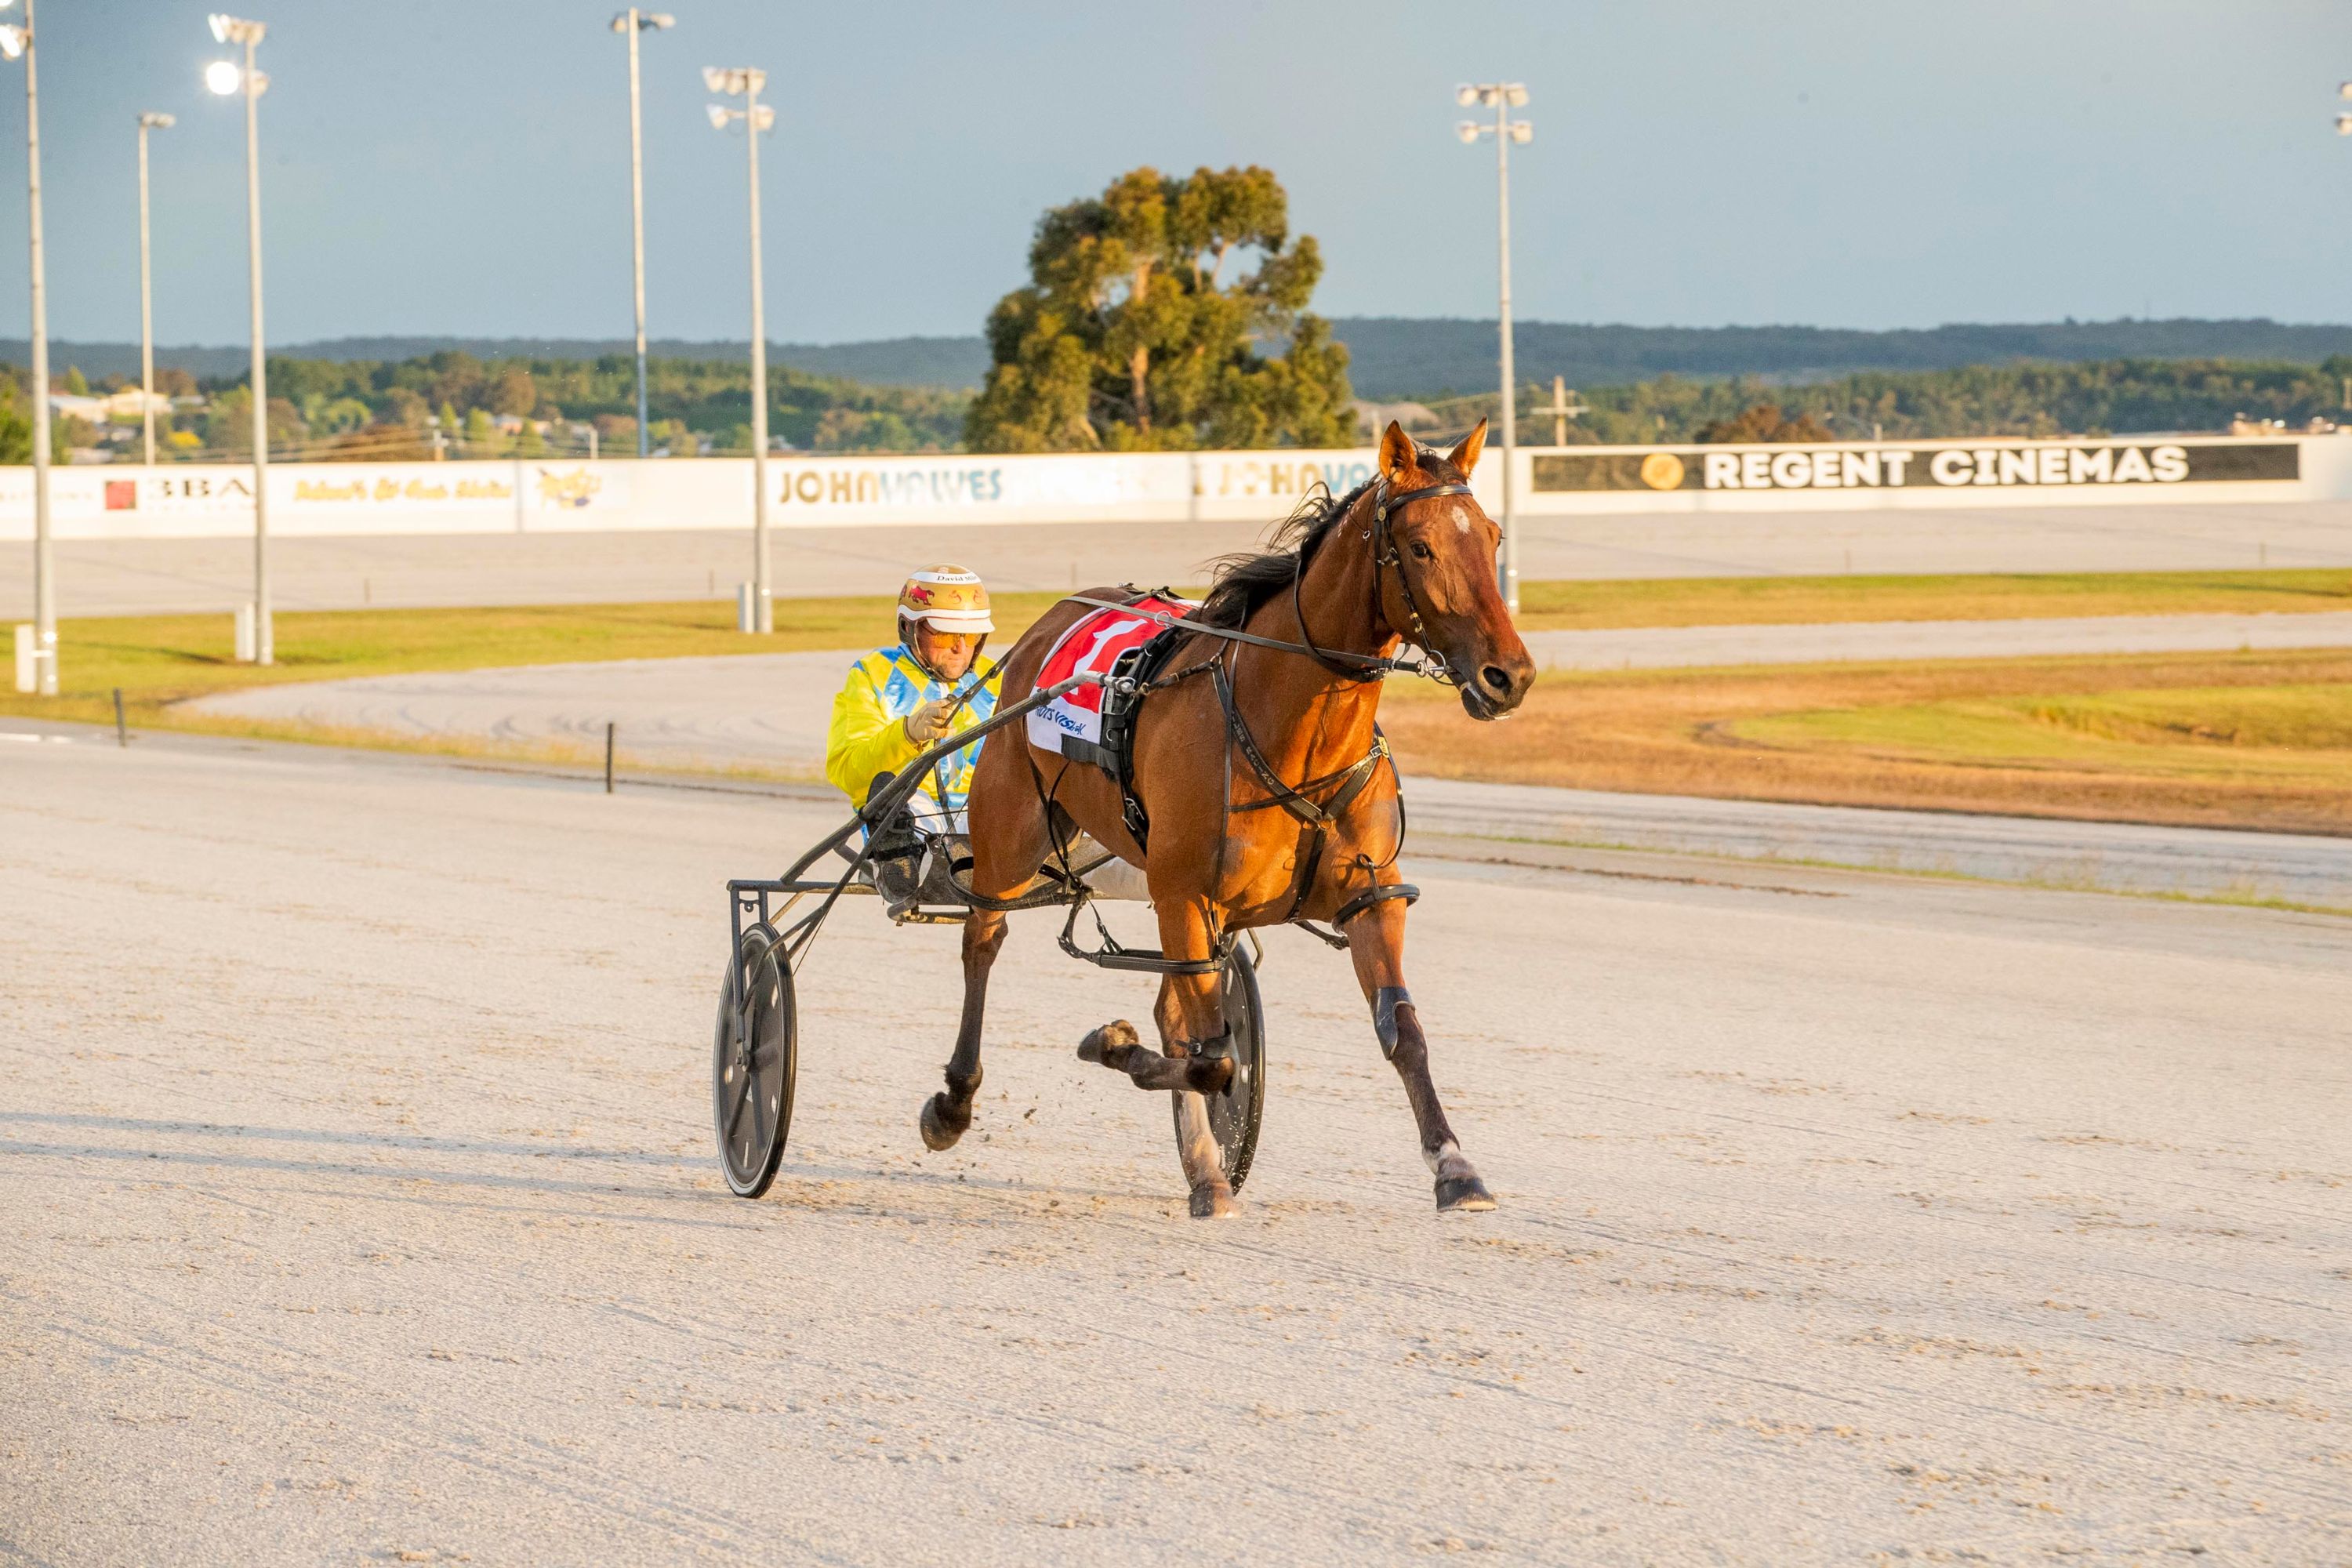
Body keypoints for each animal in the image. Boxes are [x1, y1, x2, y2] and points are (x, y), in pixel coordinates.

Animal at [919, 419, 1536, 1217]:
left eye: (1492, 536)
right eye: (1422, 545)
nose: (1510, 675)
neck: (1288, 733)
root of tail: (1051, 620)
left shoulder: (1367, 896)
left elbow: (1399, 1029)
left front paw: (1455, 1166)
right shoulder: (1185, 894)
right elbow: (1213, 1061)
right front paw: (1110, 1044)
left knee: (1171, 1007)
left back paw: (1206, 1167)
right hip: (1013, 833)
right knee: (983, 940)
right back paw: (953, 1103)